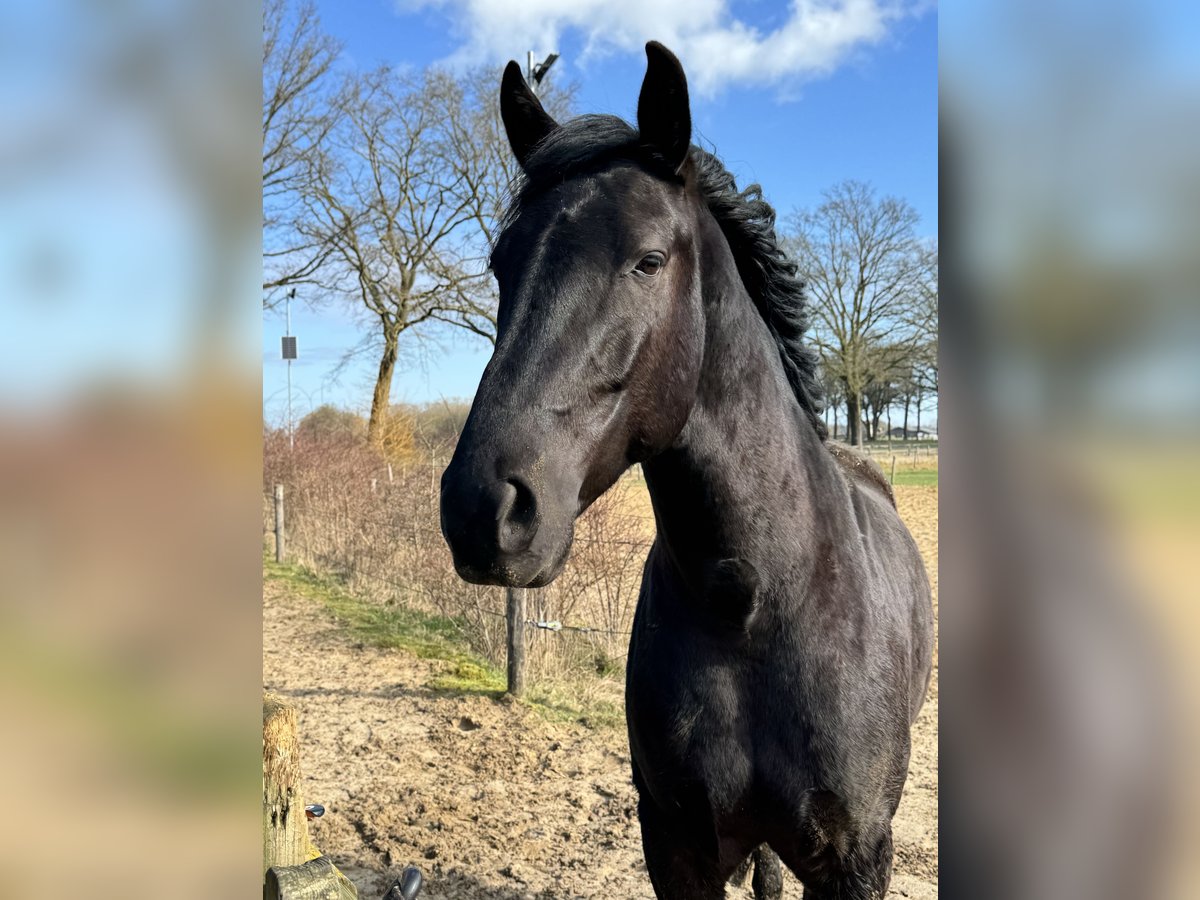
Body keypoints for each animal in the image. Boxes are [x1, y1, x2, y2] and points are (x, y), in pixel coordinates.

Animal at [440, 42, 934, 900]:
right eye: (502, 265)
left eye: (648, 260)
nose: (482, 507)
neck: (754, 607)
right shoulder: (675, 845)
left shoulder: (858, 859)